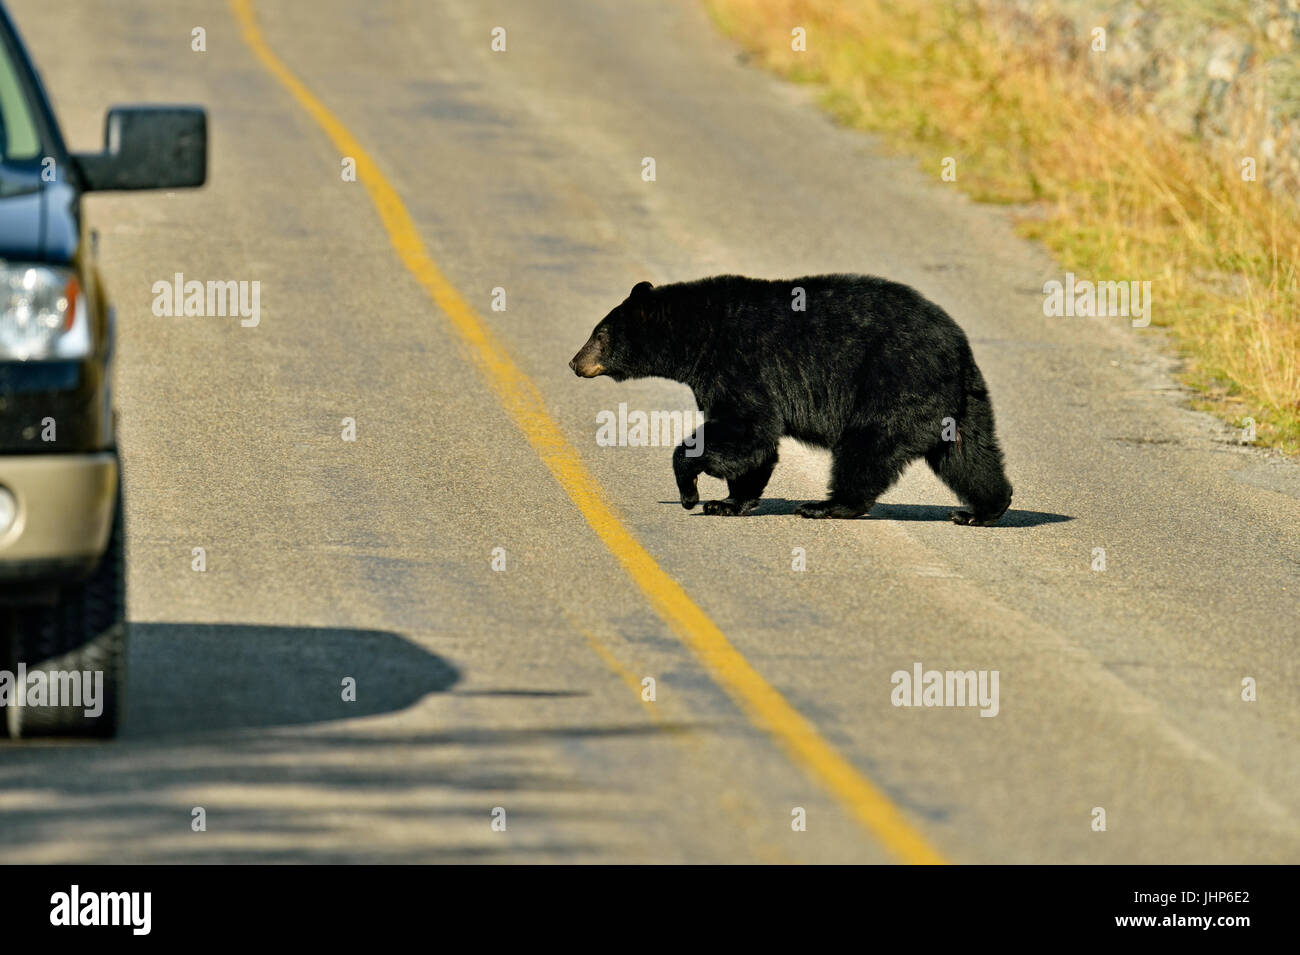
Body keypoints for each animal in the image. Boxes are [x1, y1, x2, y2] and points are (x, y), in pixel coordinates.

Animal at [572, 276, 1013, 527]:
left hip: (893, 387)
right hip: (962, 405)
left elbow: (744, 429)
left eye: (600, 334)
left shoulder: (740, 362)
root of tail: (957, 349)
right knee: (968, 456)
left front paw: (691, 494)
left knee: (865, 449)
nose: (575, 362)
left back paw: (825, 506)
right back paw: (981, 510)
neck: (699, 334)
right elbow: (754, 446)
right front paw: (729, 502)